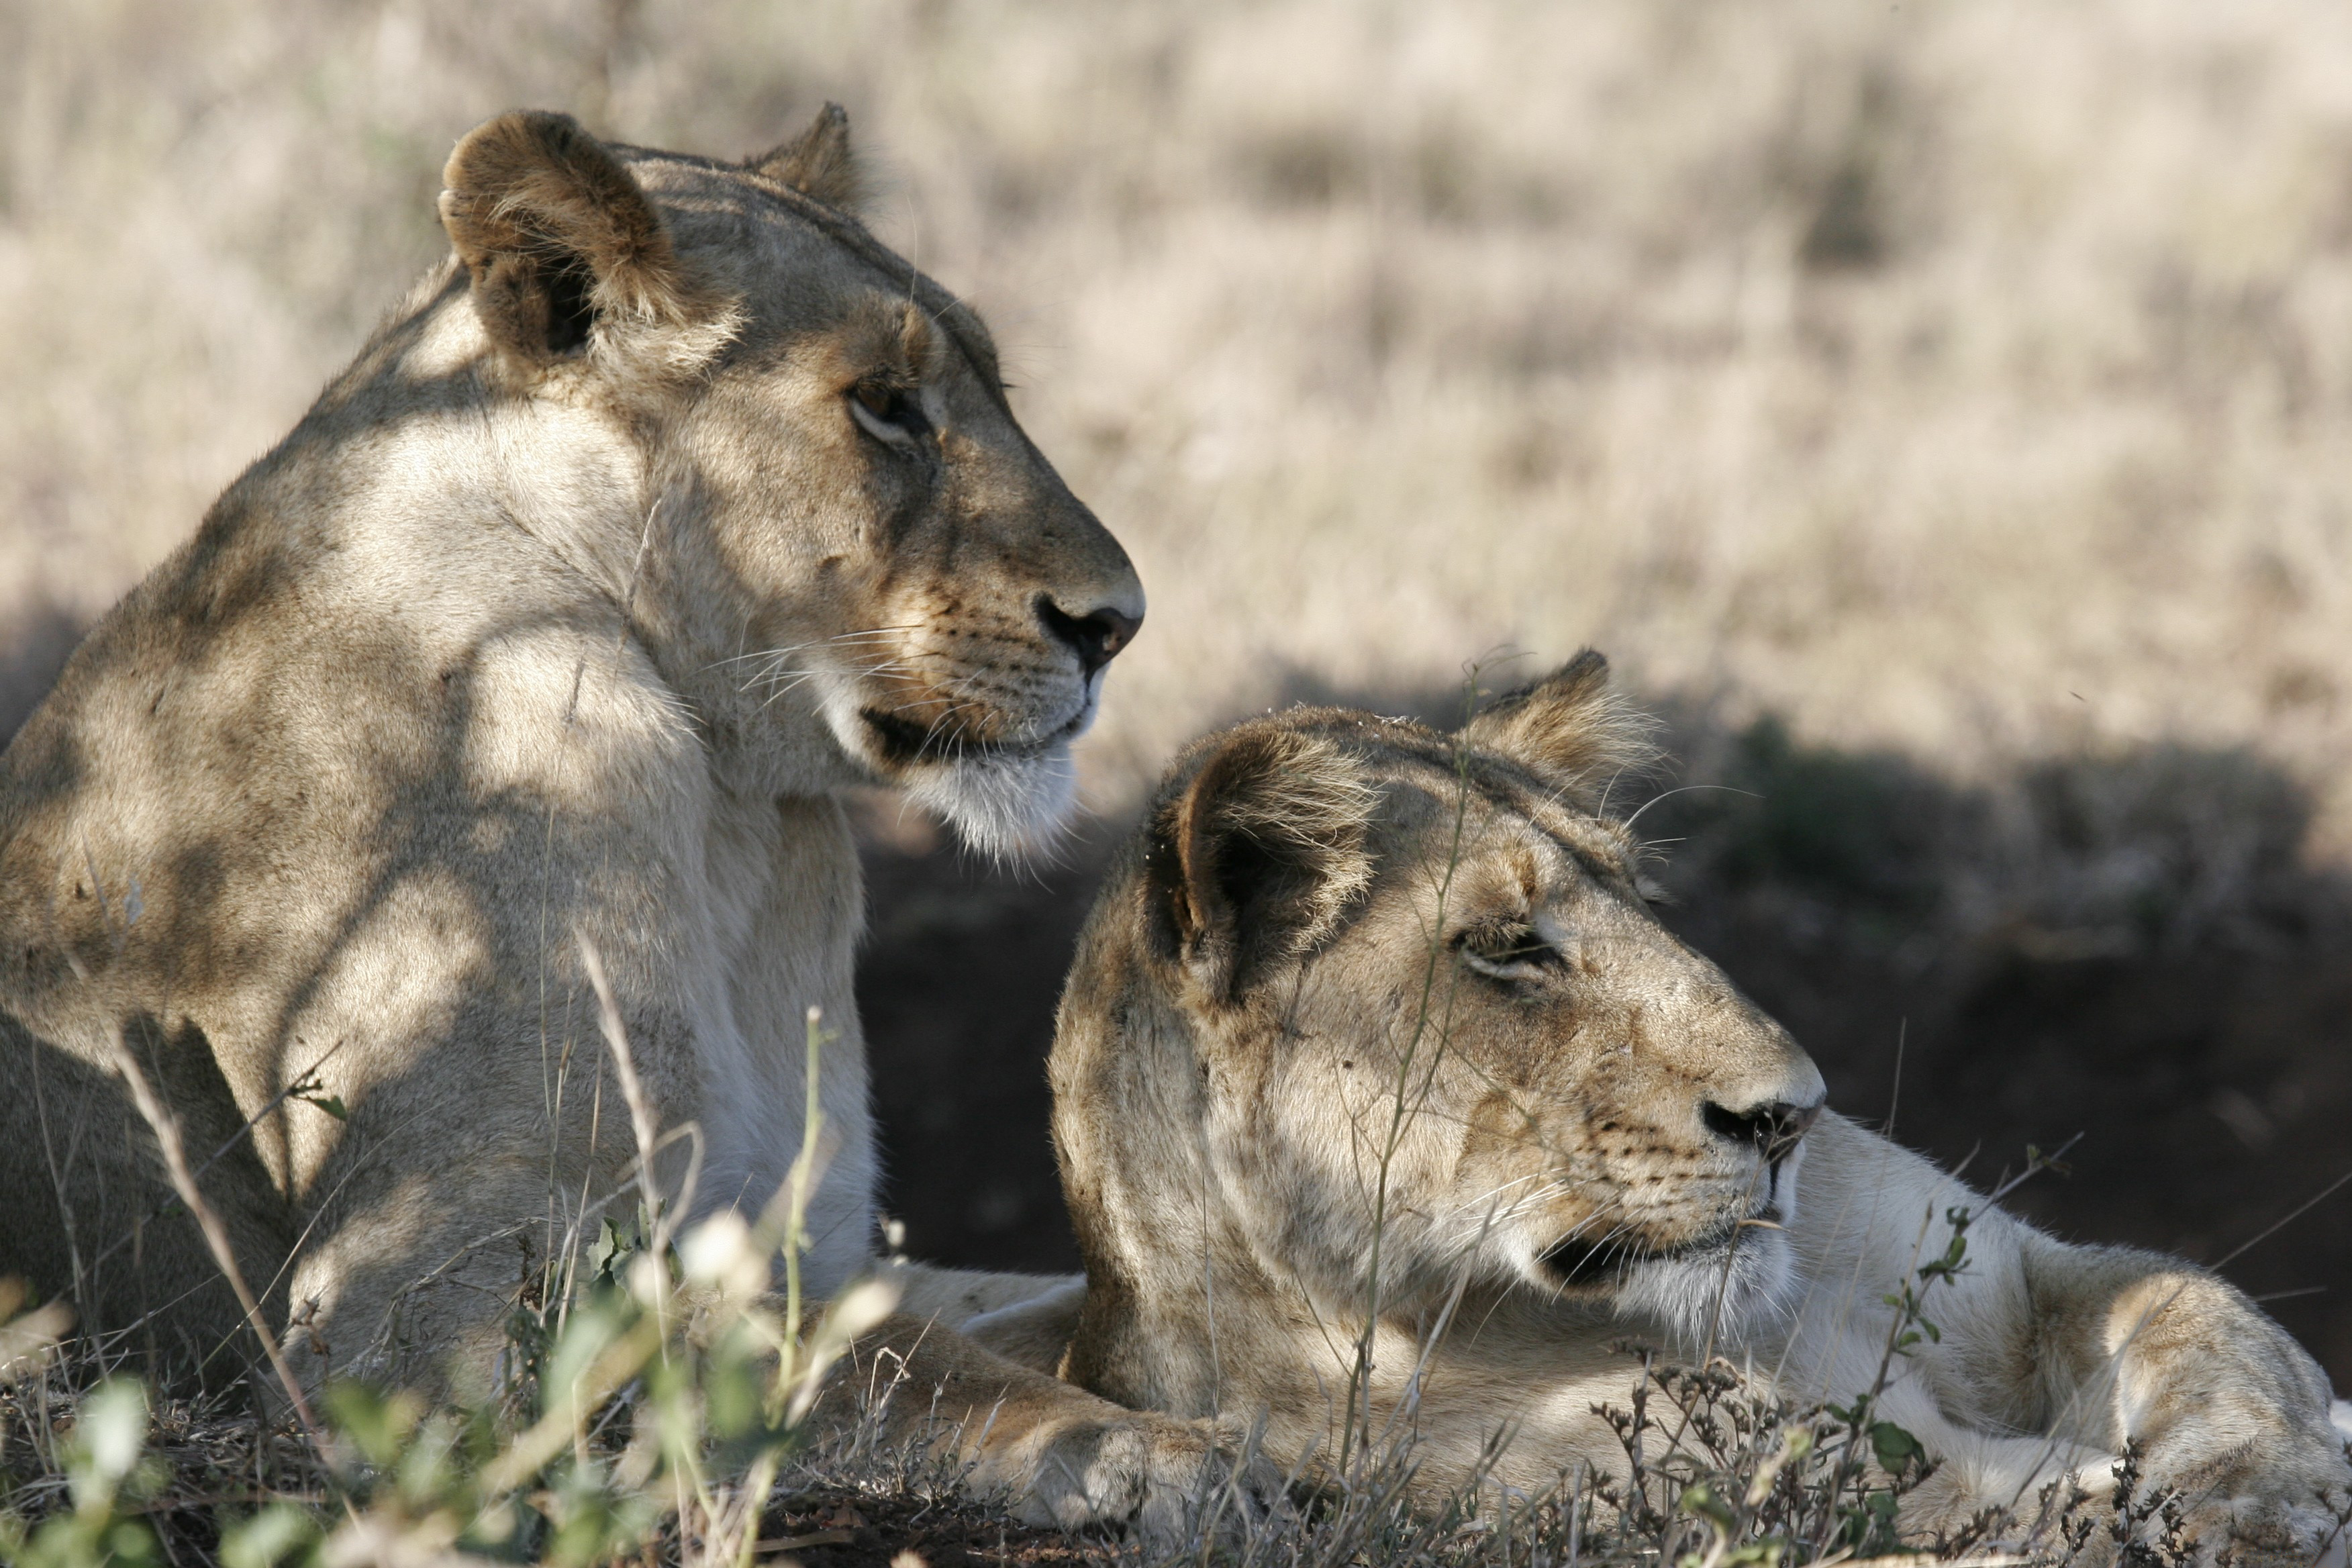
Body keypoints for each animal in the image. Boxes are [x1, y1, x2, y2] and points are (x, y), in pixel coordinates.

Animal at [4, 101, 1270, 1542]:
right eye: (885, 405)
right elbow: (871, 1359)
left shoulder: (809, 1231)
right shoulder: (413, 1323)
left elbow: (1006, 1308)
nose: (1114, 623)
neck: (732, 812)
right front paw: (1165, 1451)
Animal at [1020, 658, 2352, 1561]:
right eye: (1506, 947)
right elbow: (2040, 1511)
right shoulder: (1785, 1498)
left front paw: (2253, 1492)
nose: (1791, 1116)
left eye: (1639, 901)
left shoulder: (2031, 1277)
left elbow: (2211, 1325)